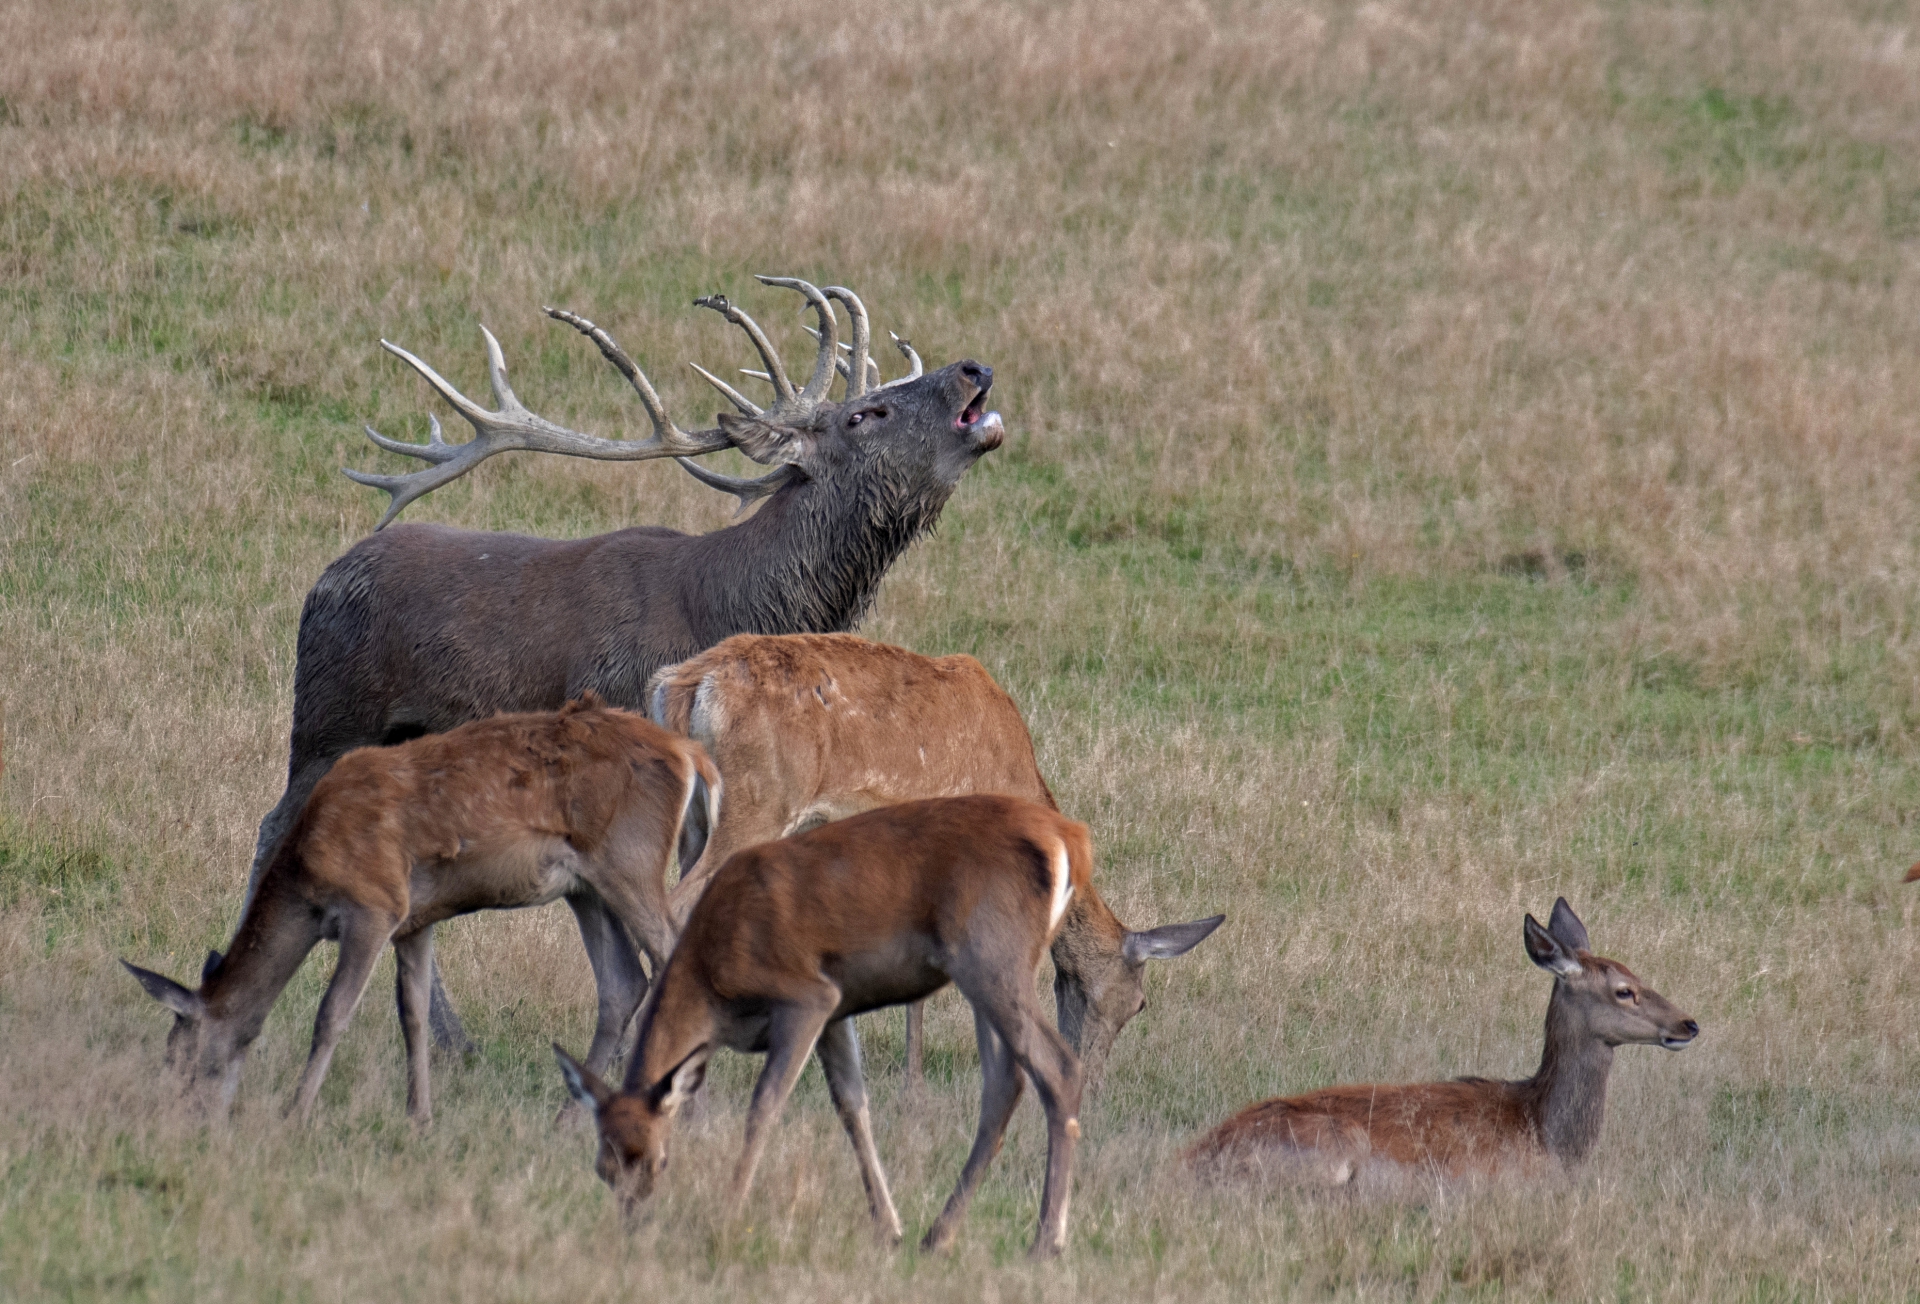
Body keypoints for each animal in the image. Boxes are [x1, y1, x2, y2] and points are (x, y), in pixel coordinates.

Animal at [121, 699, 721, 1129]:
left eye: (181, 1056)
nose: (183, 1116)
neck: (307, 877)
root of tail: (693, 757)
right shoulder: (415, 919)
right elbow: (411, 1013)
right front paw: (419, 1117)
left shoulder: (374, 904)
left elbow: (332, 1012)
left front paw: (296, 1113)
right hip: (586, 886)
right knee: (622, 982)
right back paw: (568, 1119)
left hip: (630, 860)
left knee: (670, 957)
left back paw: (691, 1118)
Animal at [560, 791, 1098, 1259]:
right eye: (602, 1166)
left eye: (659, 1158)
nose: (632, 1225)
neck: (713, 980)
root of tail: (1070, 839)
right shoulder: (837, 1008)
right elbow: (852, 1105)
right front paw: (888, 1227)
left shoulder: (806, 995)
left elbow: (766, 1105)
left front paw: (728, 1215)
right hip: (983, 967)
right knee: (1005, 1083)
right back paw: (938, 1235)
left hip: (991, 953)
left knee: (1059, 1068)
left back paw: (1046, 1242)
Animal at [645, 633, 1213, 1090]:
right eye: (1137, 1003)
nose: (1091, 1083)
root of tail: (682, 686)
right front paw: (914, 1086)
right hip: (758, 803)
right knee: (677, 906)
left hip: (696, 821)